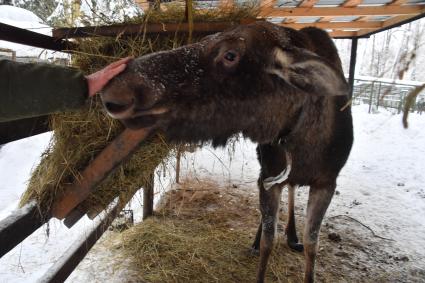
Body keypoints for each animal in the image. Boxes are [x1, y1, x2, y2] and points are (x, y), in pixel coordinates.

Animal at [101, 22, 352, 283]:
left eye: (230, 55)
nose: (115, 89)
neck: (302, 142)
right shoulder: (269, 177)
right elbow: (268, 240)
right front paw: (261, 247)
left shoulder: (327, 182)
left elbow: (312, 244)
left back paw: (292, 236)